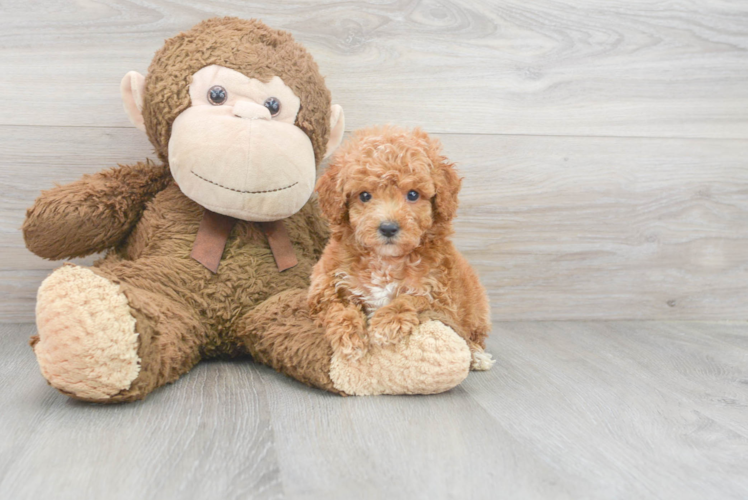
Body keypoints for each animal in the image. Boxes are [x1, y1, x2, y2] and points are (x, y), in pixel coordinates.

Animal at [306, 124, 494, 372]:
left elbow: (413, 299)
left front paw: (387, 323)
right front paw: (350, 337)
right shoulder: (322, 289)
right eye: (364, 195)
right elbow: (337, 307)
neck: (386, 261)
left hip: (476, 311)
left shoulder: (441, 296)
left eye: (413, 194)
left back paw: (477, 354)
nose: (388, 228)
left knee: (470, 336)